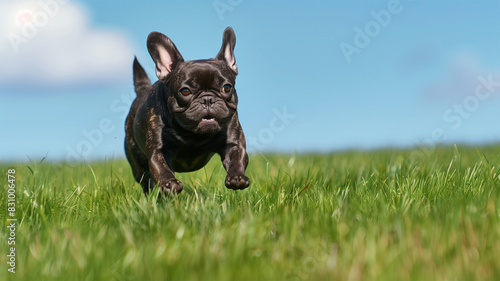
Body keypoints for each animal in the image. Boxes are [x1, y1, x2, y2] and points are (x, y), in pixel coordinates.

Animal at [124, 26, 249, 195]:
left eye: (227, 88)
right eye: (185, 91)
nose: (207, 99)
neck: (193, 135)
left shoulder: (233, 143)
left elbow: (237, 159)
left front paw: (237, 177)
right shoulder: (159, 150)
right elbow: (161, 168)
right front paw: (169, 183)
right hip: (136, 162)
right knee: (145, 179)